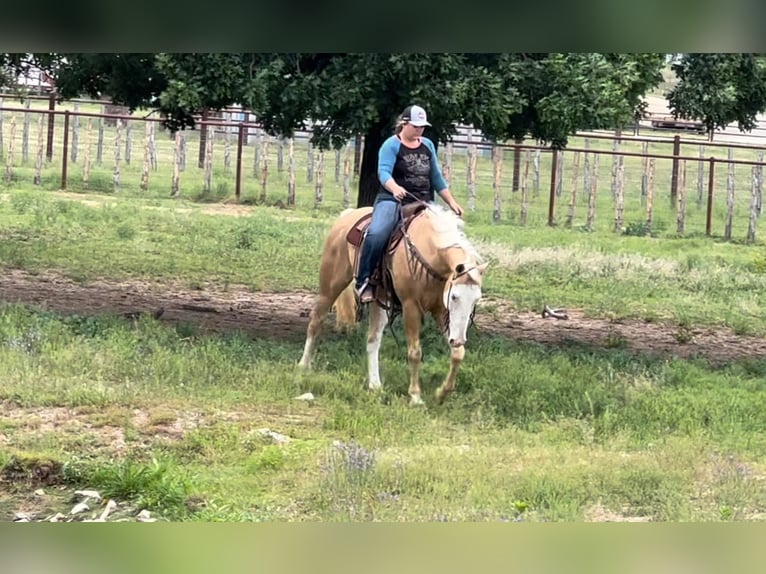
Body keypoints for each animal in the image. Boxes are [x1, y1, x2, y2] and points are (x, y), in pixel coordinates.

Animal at [296, 202, 488, 404]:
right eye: (454, 297)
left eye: (476, 300)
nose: (458, 339)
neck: (428, 251)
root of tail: (346, 216)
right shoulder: (411, 307)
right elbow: (415, 352)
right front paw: (415, 396)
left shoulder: (441, 311)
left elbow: (458, 354)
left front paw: (442, 393)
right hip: (330, 286)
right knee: (316, 321)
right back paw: (303, 365)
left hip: (379, 302)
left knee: (373, 340)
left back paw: (375, 385)